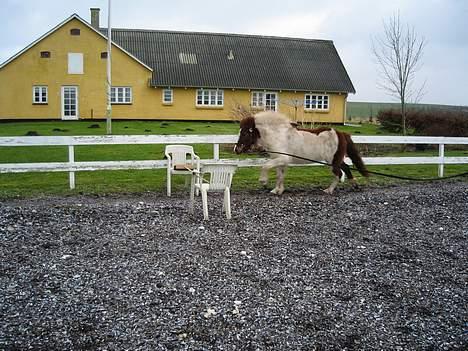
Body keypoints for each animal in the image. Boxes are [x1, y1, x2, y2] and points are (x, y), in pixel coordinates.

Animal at [234, 111, 370, 195]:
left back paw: (329, 190)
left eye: (245, 133)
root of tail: (341, 133)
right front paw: (277, 190)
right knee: (346, 168)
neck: (278, 135)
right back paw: (355, 185)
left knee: (339, 173)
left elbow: (265, 166)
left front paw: (263, 181)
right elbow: (280, 175)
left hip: (332, 160)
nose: (236, 149)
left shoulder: (283, 159)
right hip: (336, 159)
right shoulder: (280, 160)